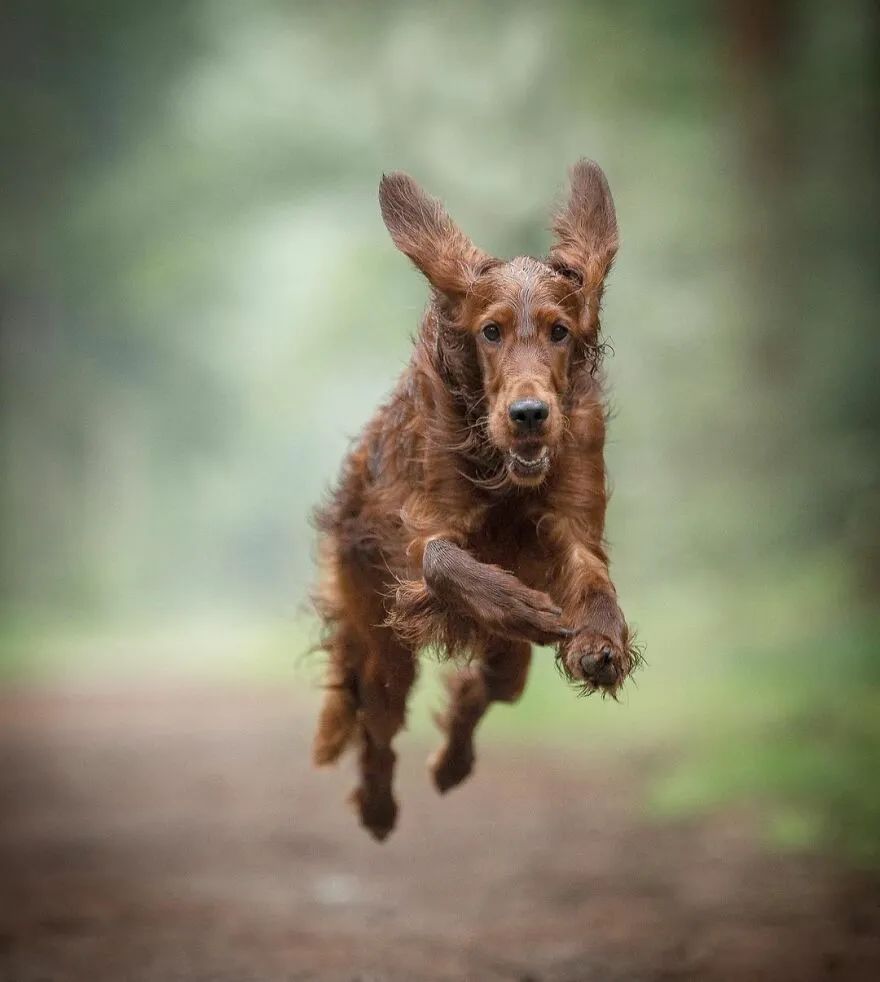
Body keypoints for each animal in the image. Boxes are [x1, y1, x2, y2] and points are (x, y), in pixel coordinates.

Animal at [312, 160, 636, 836]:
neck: (504, 467)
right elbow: (441, 560)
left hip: (499, 663)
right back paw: (378, 807)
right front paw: (516, 602)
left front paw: (601, 641)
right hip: (381, 642)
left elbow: (593, 580)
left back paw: (452, 764)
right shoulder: (423, 529)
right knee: (377, 726)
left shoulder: (575, 518)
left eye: (559, 331)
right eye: (491, 331)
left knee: (484, 688)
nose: (530, 414)